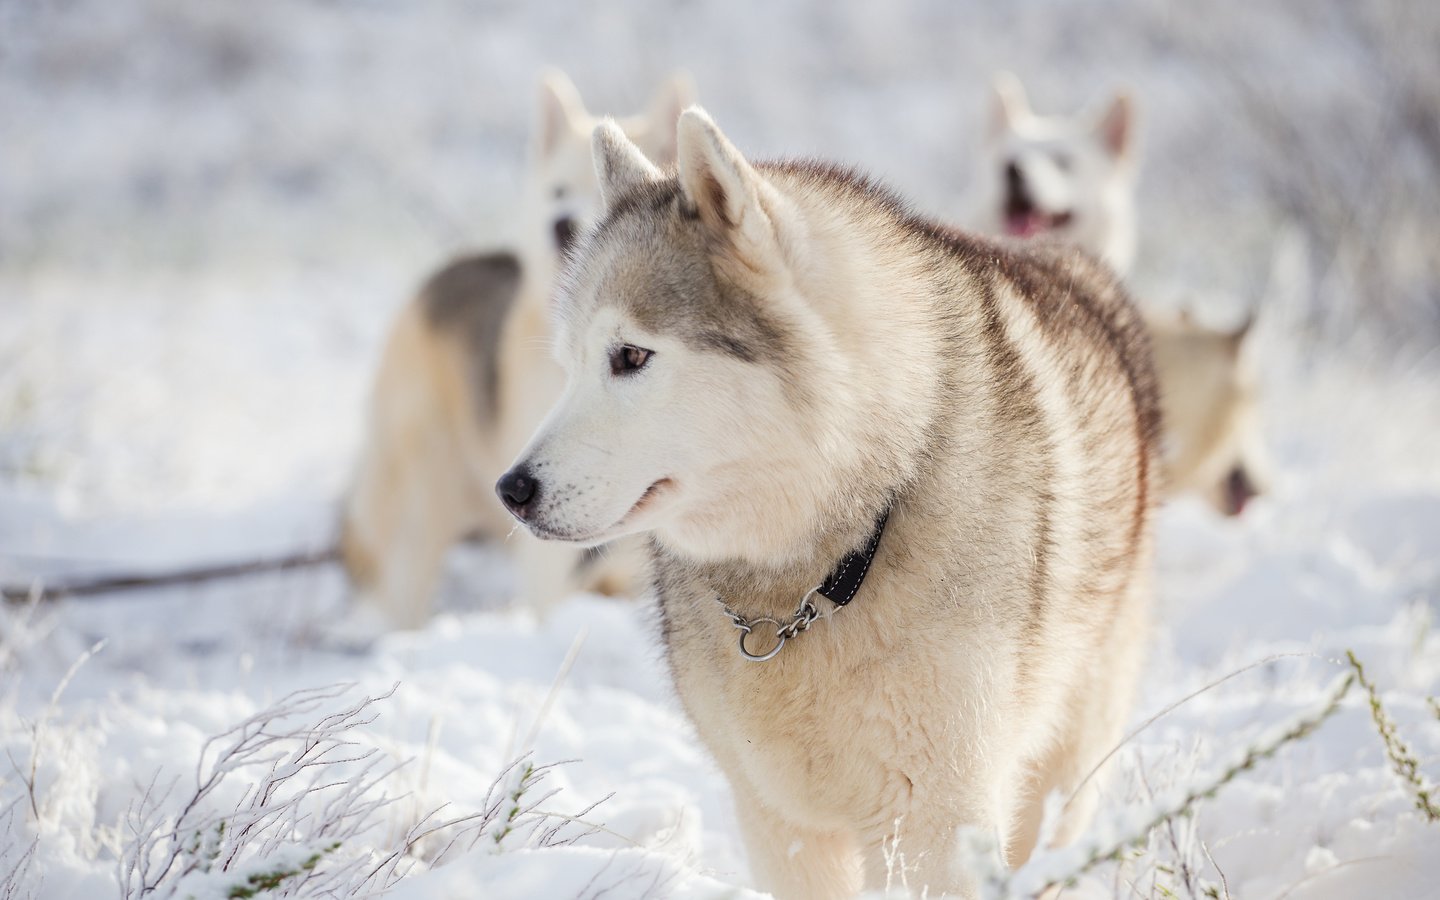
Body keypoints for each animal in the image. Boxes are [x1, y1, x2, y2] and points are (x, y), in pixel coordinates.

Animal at [501, 108, 1163, 892]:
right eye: (569, 366)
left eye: (631, 356)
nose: (511, 490)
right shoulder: (779, 822)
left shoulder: (934, 826)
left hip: (1060, 769)